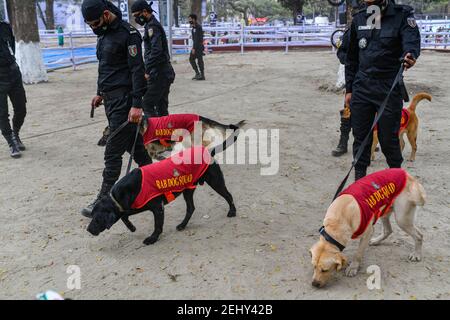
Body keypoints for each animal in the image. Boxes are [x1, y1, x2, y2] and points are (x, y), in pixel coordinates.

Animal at [87, 131, 239, 244]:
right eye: (92, 216)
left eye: (97, 219)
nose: (88, 230)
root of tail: (208, 151)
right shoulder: (136, 206)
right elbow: (124, 216)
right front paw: (132, 227)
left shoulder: (157, 208)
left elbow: (157, 225)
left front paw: (152, 238)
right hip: (188, 190)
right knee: (191, 208)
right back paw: (182, 225)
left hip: (215, 182)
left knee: (228, 195)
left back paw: (232, 211)